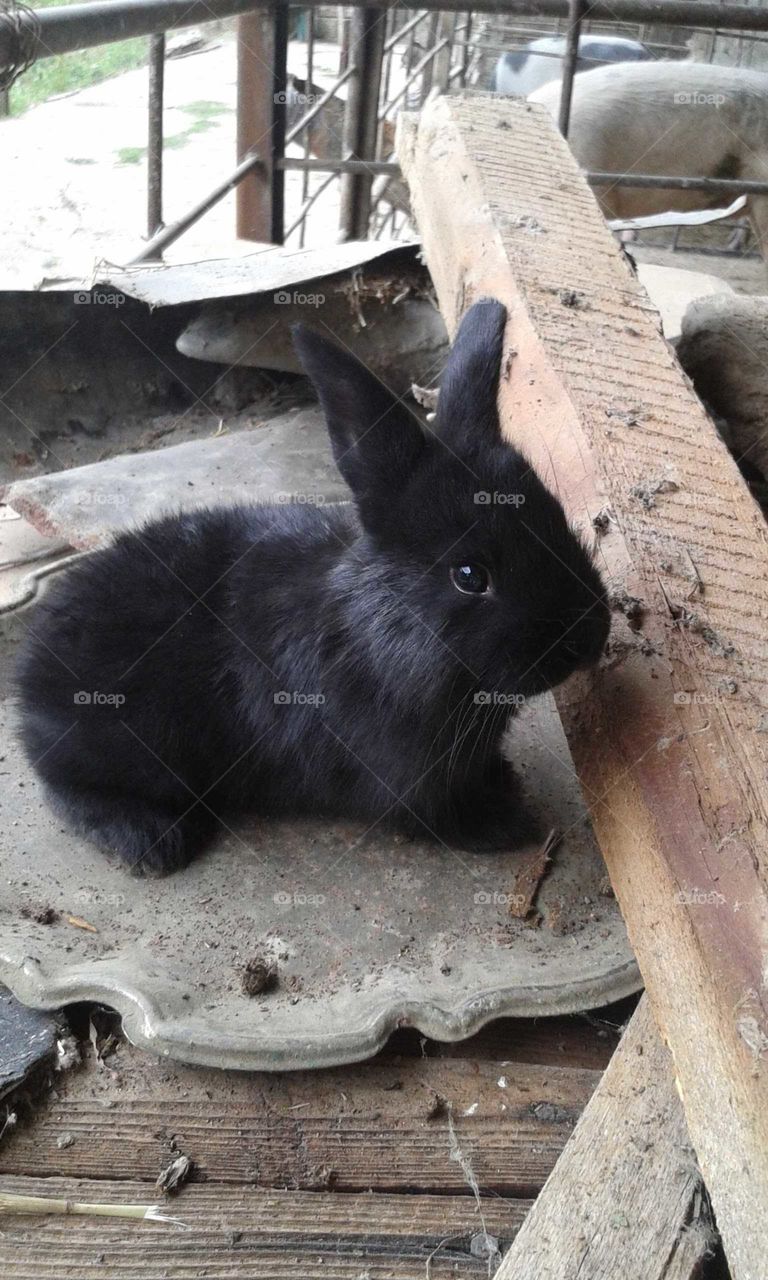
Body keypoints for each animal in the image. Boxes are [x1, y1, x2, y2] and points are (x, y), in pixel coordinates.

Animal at [16, 299, 610, 875]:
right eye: (469, 576)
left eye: (558, 518)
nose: (589, 637)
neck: (380, 635)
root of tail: (29, 678)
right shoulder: (406, 778)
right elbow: (436, 816)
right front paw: (508, 825)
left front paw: (504, 777)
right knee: (64, 788)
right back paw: (151, 841)